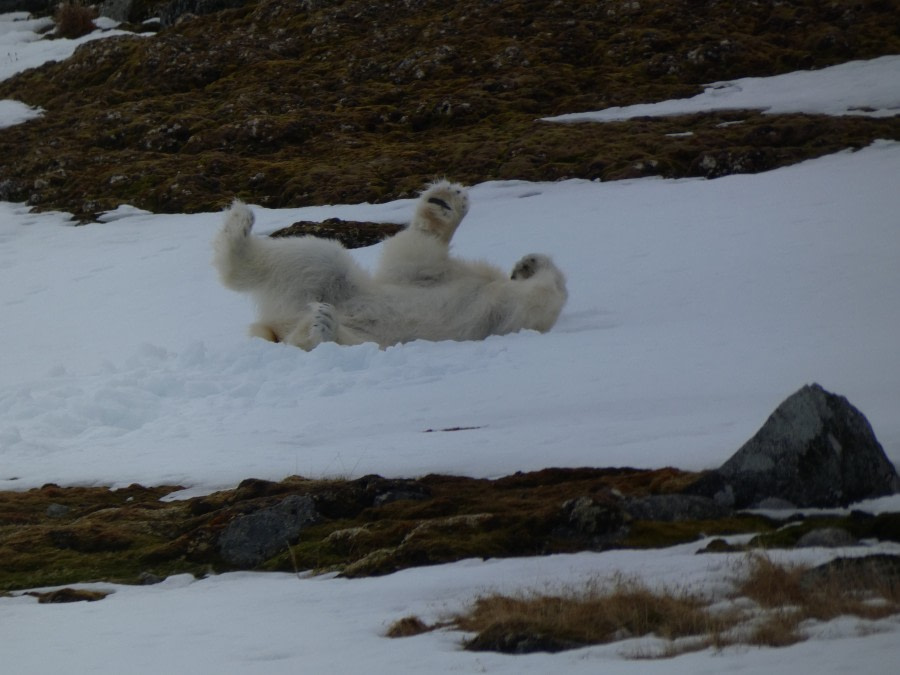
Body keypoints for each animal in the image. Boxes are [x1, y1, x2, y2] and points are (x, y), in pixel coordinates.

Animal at [214, 180, 568, 352]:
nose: (522, 266)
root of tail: (276, 326)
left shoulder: (502, 314)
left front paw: (532, 266)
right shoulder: (436, 277)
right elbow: (414, 253)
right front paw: (446, 202)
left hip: (371, 335)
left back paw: (322, 326)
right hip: (335, 289)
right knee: (314, 260)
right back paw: (239, 225)